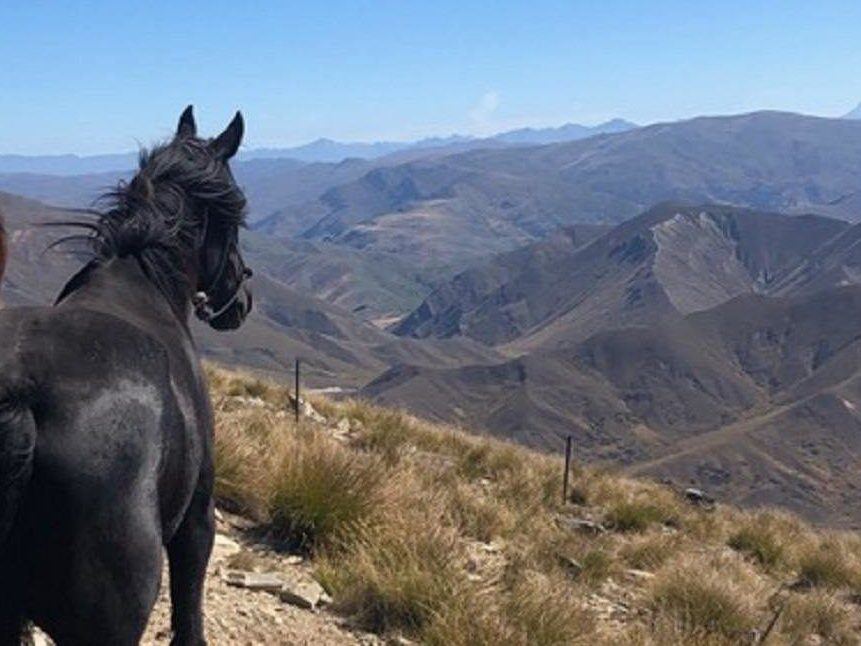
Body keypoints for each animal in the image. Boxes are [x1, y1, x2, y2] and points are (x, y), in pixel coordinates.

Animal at [0, 106, 253, 645]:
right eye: (239, 214)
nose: (242, 299)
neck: (143, 282)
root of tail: (21, 402)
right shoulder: (198, 518)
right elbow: (189, 613)